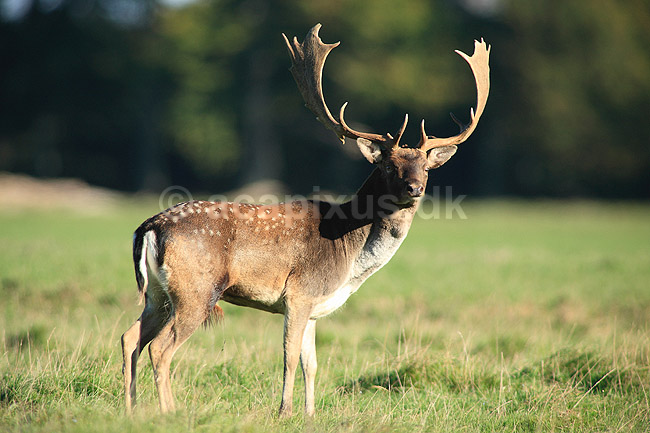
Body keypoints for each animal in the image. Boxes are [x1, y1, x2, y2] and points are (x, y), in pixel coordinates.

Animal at [121, 23, 490, 417]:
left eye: (427, 167)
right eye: (389, 165)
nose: (414, 187)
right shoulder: (299, 293)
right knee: (160, 348)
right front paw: (284, 410)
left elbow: (311, 362)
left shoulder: (314, 307)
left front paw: (311, 413)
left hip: (158, 292)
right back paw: (169, 411)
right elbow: (289, 356)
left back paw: (129, 409)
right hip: (196, 289)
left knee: (130, 337)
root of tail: (149, 228)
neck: (350, 257)